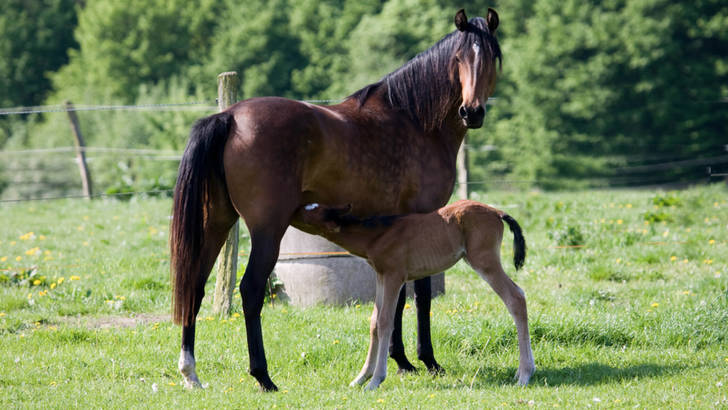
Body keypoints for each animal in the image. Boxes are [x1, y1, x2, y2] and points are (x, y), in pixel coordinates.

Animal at [298, 199, 536, 390]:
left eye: (312, 210)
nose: (295, 208)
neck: (377, 234)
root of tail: (497, 212)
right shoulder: (381, 277)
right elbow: (374, 321)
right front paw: (360, 377)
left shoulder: (394, 276)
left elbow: (385, 321)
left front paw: (375, 380)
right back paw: (524, 370)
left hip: (484, 261)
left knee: (515, 297)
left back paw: (524, 375)